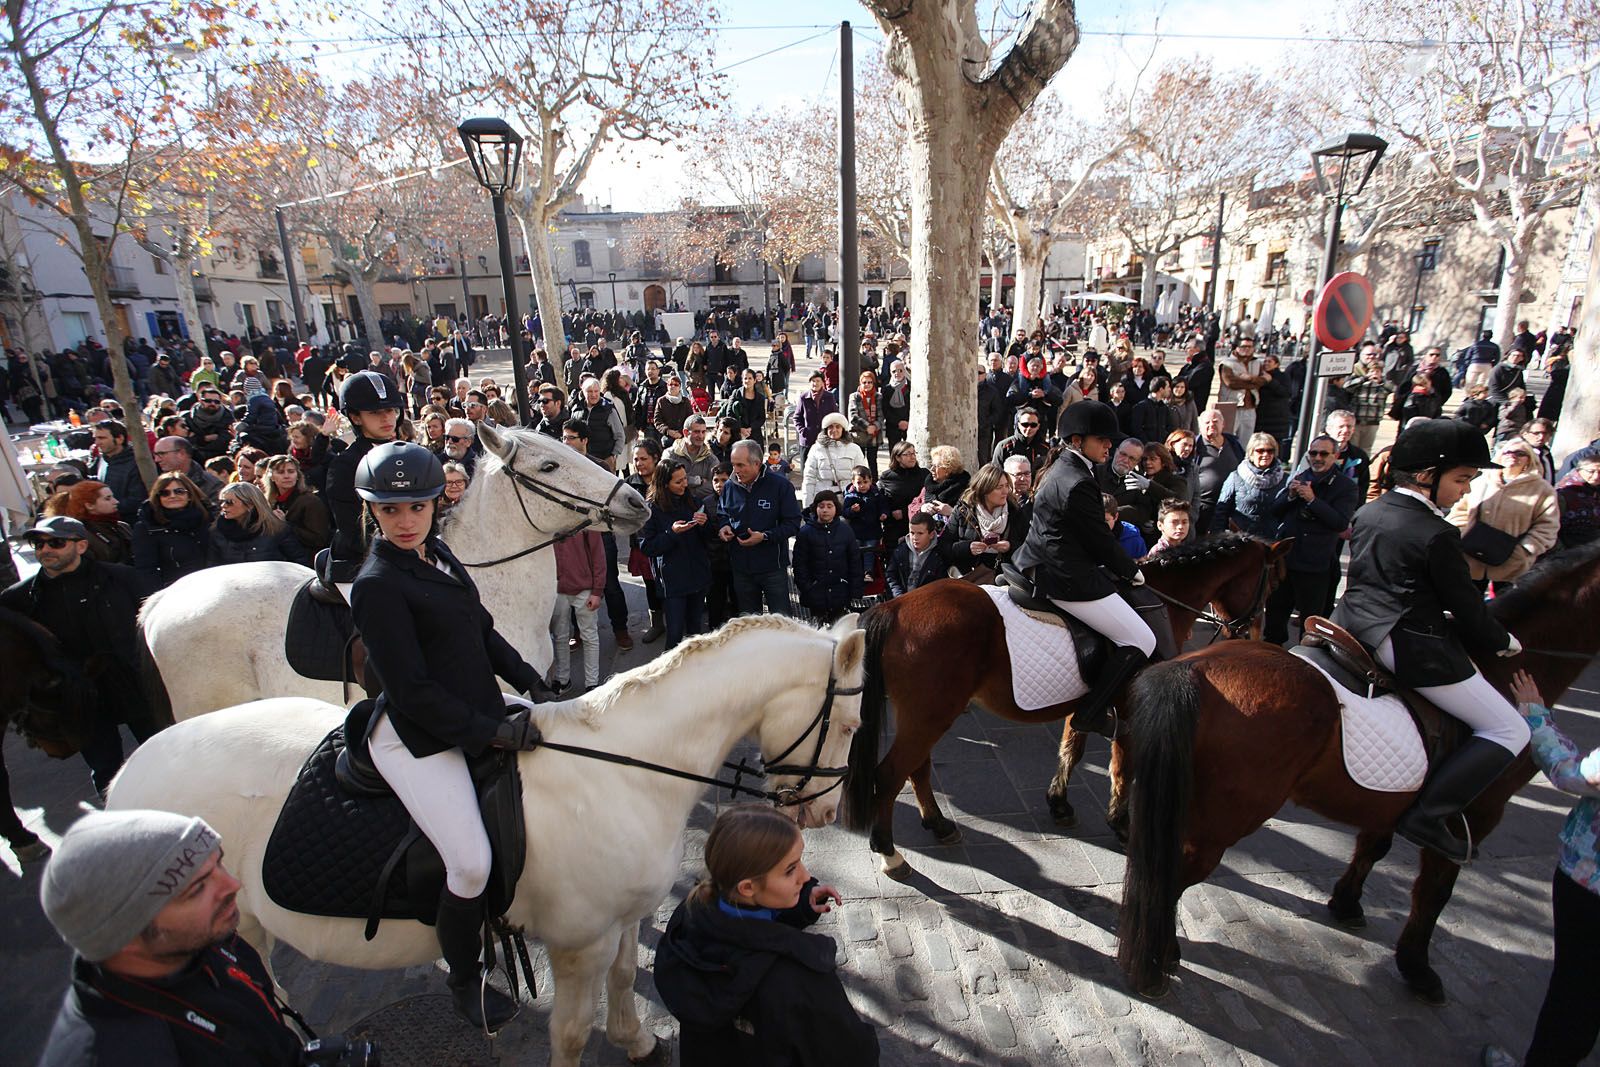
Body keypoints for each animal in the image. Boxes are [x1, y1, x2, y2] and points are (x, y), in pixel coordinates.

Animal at [108, 614, 870, 1062]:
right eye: (852, 724)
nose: (825, 814)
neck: (623, 767)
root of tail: (126, 778)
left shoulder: (626, 917)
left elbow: (629, 977)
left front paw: (634, 1039)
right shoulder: (579, 941)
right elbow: (570, 1029)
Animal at [844, 531, 1292, 876]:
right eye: (1271, 583)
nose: (1255, 636)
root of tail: (893, 607)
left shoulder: (1089, 702)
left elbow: (1071, 748)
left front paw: (1059, 803)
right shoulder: (1130, 706)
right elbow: (1121, 766)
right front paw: (1121, 825)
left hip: (926, 714)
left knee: (916, 768)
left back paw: (937, 824)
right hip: (930, 715)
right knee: (889, 775)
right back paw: (889, 853)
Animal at [1113, 543, 1600, 1004]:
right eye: (1273, 581)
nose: (1252, 626)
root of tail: (1192, 669)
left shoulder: (1393, 802)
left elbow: (1373, 846)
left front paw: (1347, 903)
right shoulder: (1474, 818)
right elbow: (1434, 892)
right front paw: (1418, 968)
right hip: (1223, 820)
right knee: (1168, 877)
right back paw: (1158, 960)